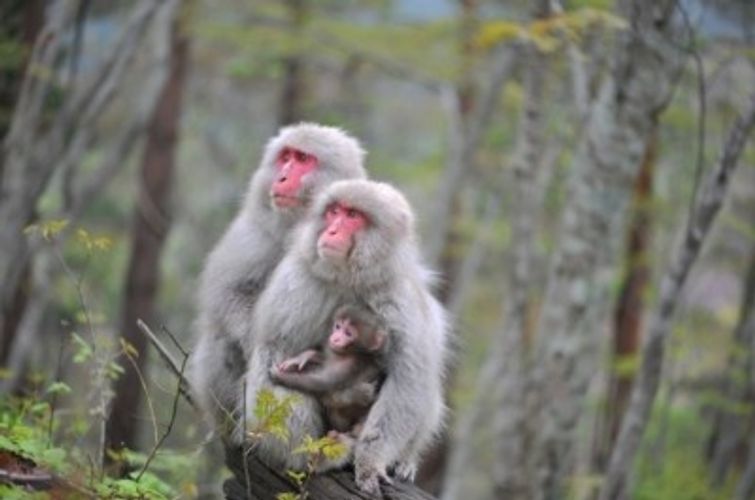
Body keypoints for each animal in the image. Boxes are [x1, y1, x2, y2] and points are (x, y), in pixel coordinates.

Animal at [270, 302, 390, 436]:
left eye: (348, 333)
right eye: (338, 326)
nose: (335, 338)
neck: (352, 352)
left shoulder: (348, 365)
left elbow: (321, 382)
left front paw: (280, 376)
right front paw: (303, 357)